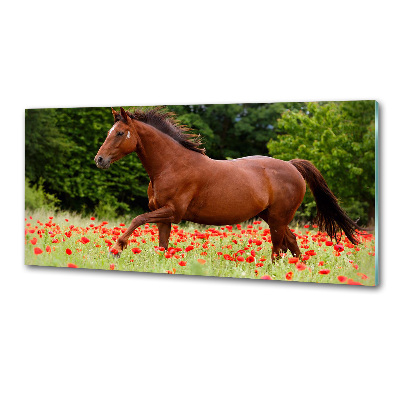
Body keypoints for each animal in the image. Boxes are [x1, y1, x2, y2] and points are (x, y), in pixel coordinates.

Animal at [94, 108, 360, 260]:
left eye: (119, 133)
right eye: (109, 131)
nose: (99, 160)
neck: (172, 164)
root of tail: (292, 166)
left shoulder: (172, 212)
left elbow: (137, 219)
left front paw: (116, 249)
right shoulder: (163, 216)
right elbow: (162, 245)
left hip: (277, 218)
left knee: (278, 248)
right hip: (273, 217)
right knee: (291, 243)